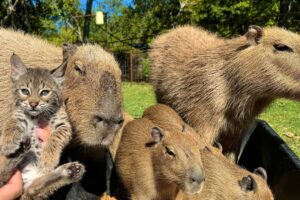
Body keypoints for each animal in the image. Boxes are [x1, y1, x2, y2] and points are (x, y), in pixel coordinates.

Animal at [0, 54, 85, 199]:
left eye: (45, 92)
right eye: (25, 91)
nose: (33, 104)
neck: (37, 116)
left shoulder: (64, 125)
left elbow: (56, 137)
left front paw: (48, 159)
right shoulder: (17, 113)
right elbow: (11, 123)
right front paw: (8, 142)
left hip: (31, 186)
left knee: (34, 190)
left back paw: (70, 171)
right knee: (4, 173)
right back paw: (18, 150)